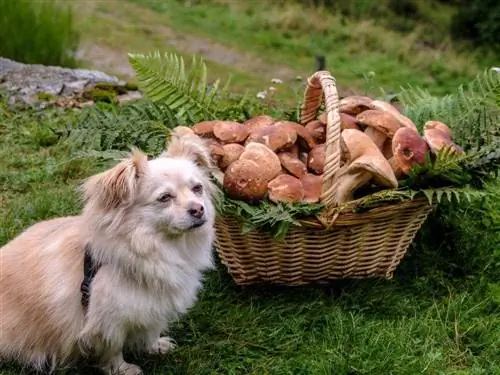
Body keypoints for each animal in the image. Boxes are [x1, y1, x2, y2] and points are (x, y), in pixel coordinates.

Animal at [1, 130, 217, 375]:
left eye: (198, 189)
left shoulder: (153, 307)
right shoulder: (107, 322)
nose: (198, 209)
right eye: (164, 198)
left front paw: (154, 346)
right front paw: (122, 369)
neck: (158, 247)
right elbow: (112, 349)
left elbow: (151, 329)